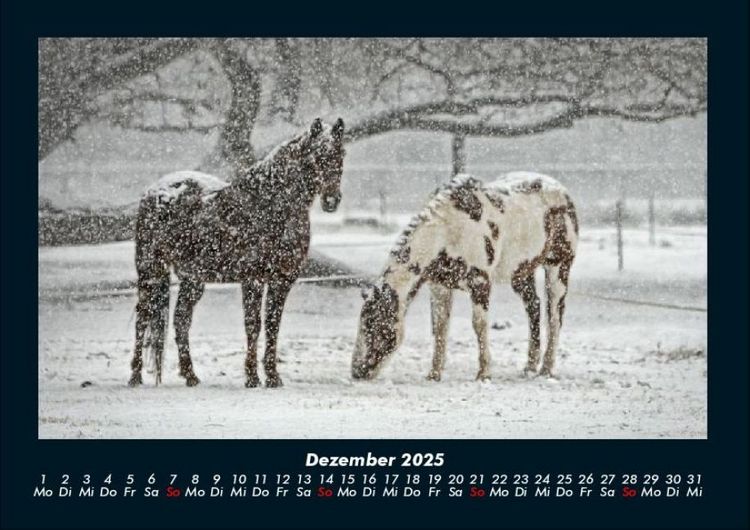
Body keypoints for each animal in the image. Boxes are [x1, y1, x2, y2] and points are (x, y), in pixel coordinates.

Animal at [128, 117, 345, 388]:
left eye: (341, 154)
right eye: (316, 156)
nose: (331, 200)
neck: (270, 205)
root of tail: (155, 191)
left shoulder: (282, 280)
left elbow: (273, 325)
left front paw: (273, 376)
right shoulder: (253, 279)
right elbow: (253, 325)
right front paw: (252, 377)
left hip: (192, 279)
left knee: (181, 320)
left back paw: (191, 375)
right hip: (150, 270)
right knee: (143, 317)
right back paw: (135, 376)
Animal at [351, 172, 578, 382]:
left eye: (376, 325)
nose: (357, 371)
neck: (448, 231)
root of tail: (562, 191)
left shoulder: (480, 283)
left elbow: (479, 325)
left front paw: (484, 374)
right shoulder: (440, 286)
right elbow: (441, 327)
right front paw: (434, 374)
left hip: (558, 268)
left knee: (555, 316)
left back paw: (546, 369)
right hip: (521, 273)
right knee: (534, 307)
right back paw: (529, 367)